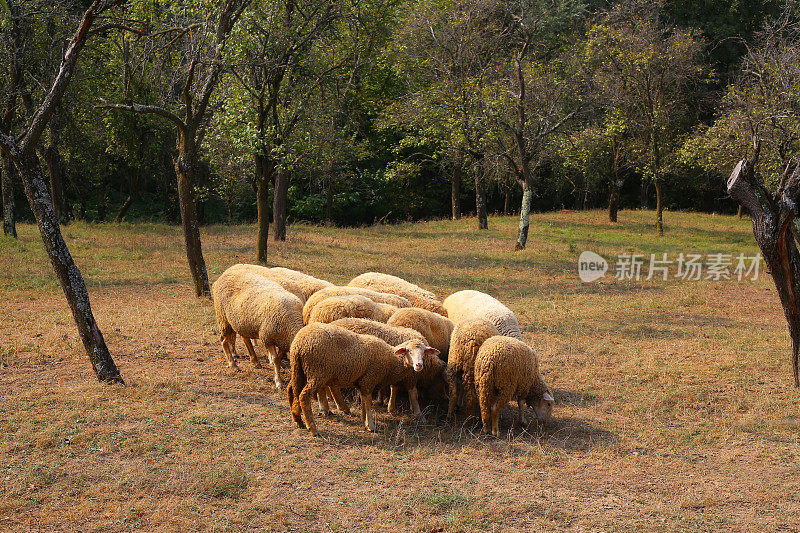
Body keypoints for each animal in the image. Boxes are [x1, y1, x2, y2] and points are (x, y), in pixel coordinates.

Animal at [288, 322, 438, 434]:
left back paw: (298, 419)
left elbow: (364, 404)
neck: (390, 359)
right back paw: (312, 428)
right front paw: (371, 425)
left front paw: (363, 419)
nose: (419, 365)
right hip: (318, 372)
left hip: (300, 369)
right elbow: (369, 403)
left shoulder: (362, 381)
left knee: (293, 389)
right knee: (304, 396)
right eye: (409, 351)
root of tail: (299, 343)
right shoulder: (369, 380)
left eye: (424, 352)